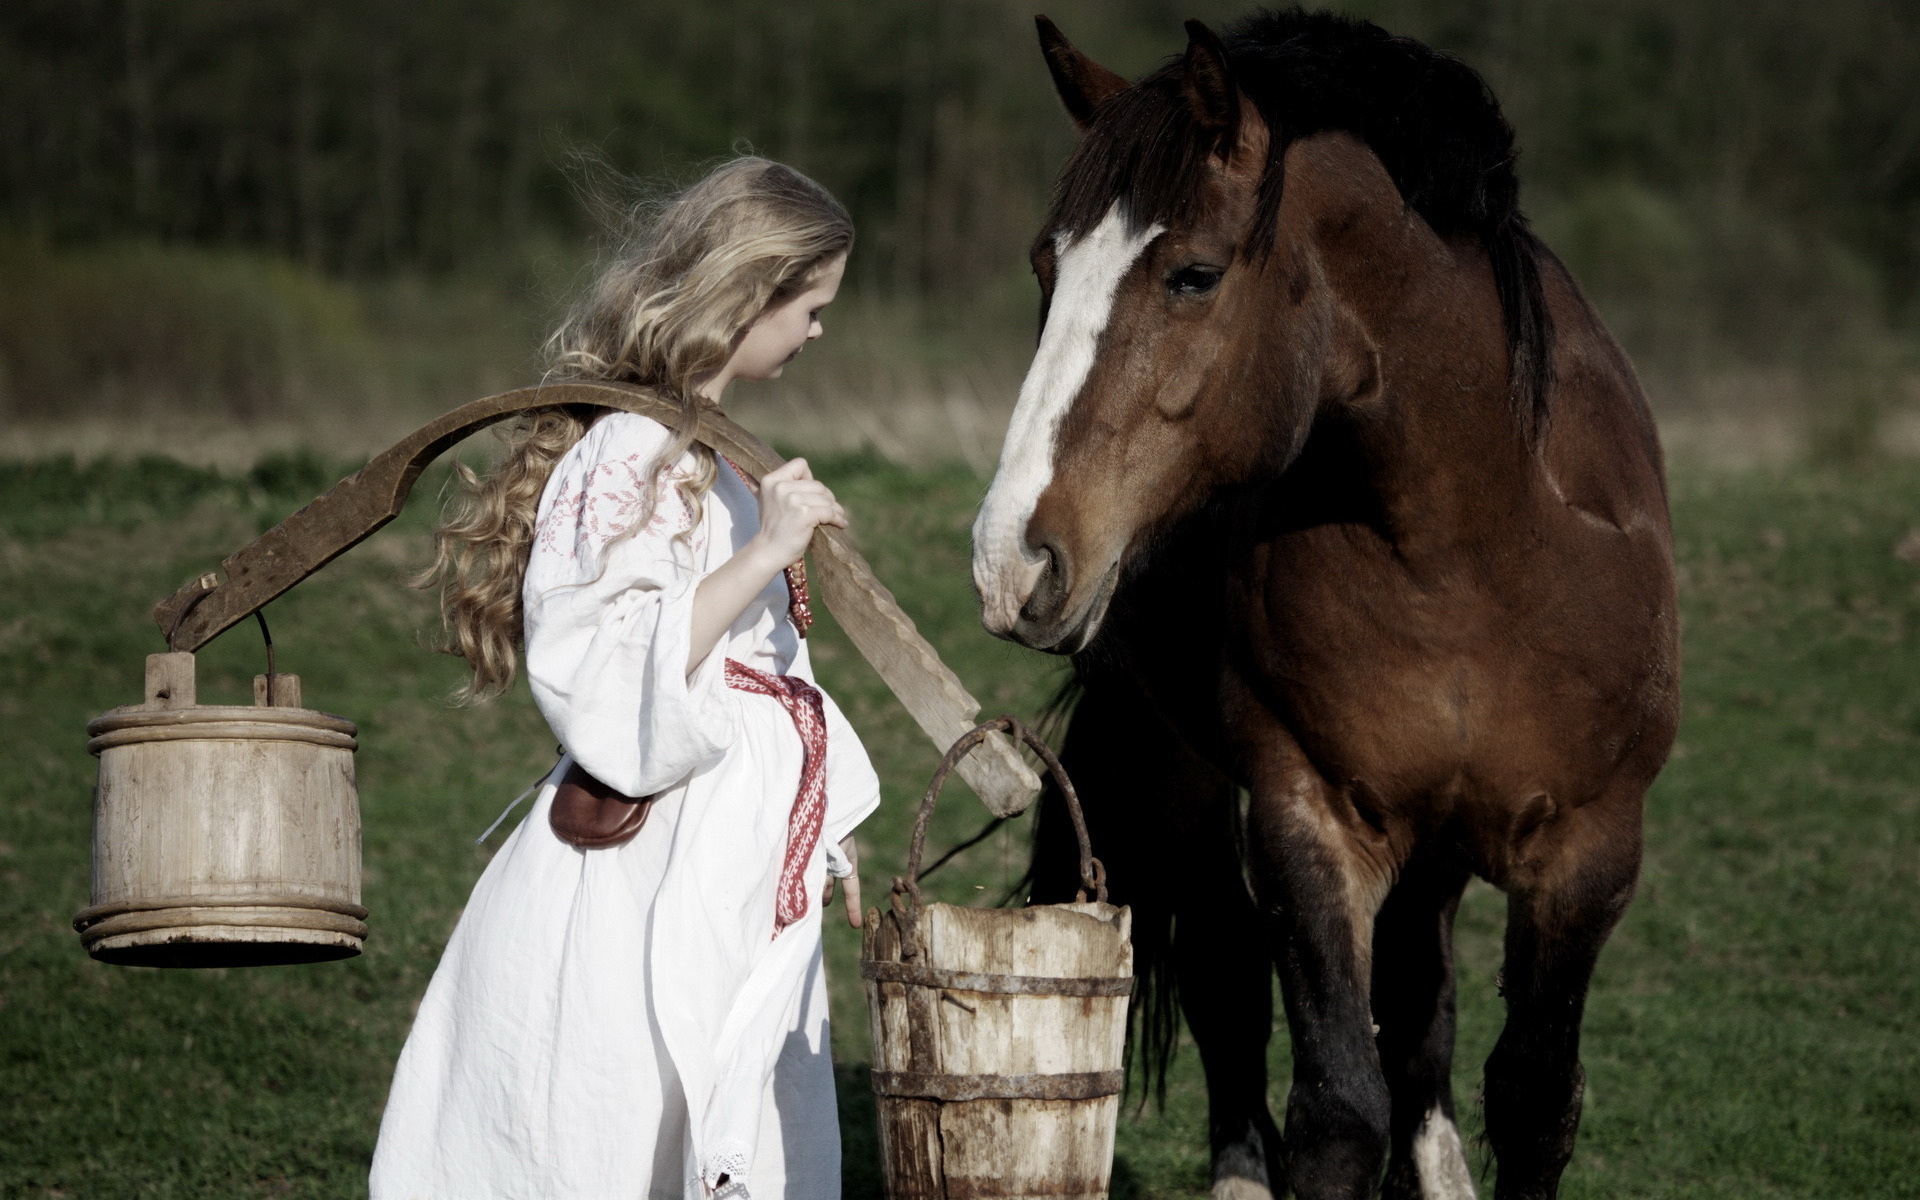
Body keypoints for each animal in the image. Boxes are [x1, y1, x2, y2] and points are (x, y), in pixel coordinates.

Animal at [975, 9, 1681, 1198]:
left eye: (1194, 275)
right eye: (1044, 268)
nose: (1010, 558)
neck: (1474, 544)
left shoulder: (1591, 852)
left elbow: (1534, 1098)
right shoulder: (1311, 820)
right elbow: (1338, 1107)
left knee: (1419, 1004)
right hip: (1180, 764)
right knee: (1226, 968)